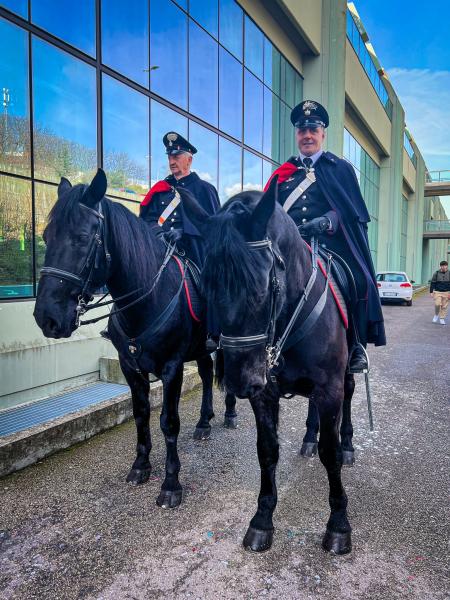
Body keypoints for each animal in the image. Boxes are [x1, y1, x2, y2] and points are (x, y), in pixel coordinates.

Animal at [33, 171, 237, 508]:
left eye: (82, 238)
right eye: (47, 237)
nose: (46, 317)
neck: (147, 298)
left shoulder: (172, 367)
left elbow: (169, 421)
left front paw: (171, 484)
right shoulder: (129, 365)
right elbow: (141, 415)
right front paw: (140, 466)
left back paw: (230, 414)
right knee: (207, 374)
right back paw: (204, 423)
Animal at [181, 180, 356, 556]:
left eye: (262, 286)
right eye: (206, 286)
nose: (238, 383)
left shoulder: (329, 388)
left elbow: (331, 453)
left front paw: (338, 525)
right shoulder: (267, 393)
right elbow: (267, 451)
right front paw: (261, 520)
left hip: (346, 375)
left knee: (349, 401)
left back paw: (348, 443)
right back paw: (308, 438)